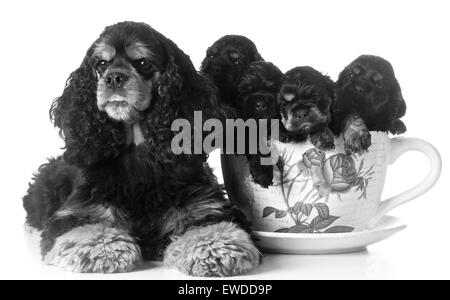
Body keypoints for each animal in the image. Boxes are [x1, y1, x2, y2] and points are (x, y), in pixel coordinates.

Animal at [22, 21, 260, 276]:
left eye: (143, 63)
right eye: (101, 64)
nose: (113, 78)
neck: (138, 149)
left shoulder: (206, 206)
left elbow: (213, 228)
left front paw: (214, 249)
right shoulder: (79, 210)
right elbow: (88, 229)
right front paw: (105, 248)